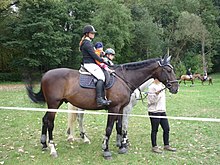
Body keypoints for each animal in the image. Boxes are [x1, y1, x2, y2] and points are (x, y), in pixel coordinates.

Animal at [25, 55, 179, 159]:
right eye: (168, 70)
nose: (175, 88)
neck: (124, 79)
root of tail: (46, 74)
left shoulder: (121, 108)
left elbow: (119, 126)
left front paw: (121, 146)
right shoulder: (115, 108)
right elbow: (110, 128)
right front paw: (106, 150)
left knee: (45, 120)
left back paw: (44, 144)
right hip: (54, 104)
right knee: (51, 122)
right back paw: (52, 148)